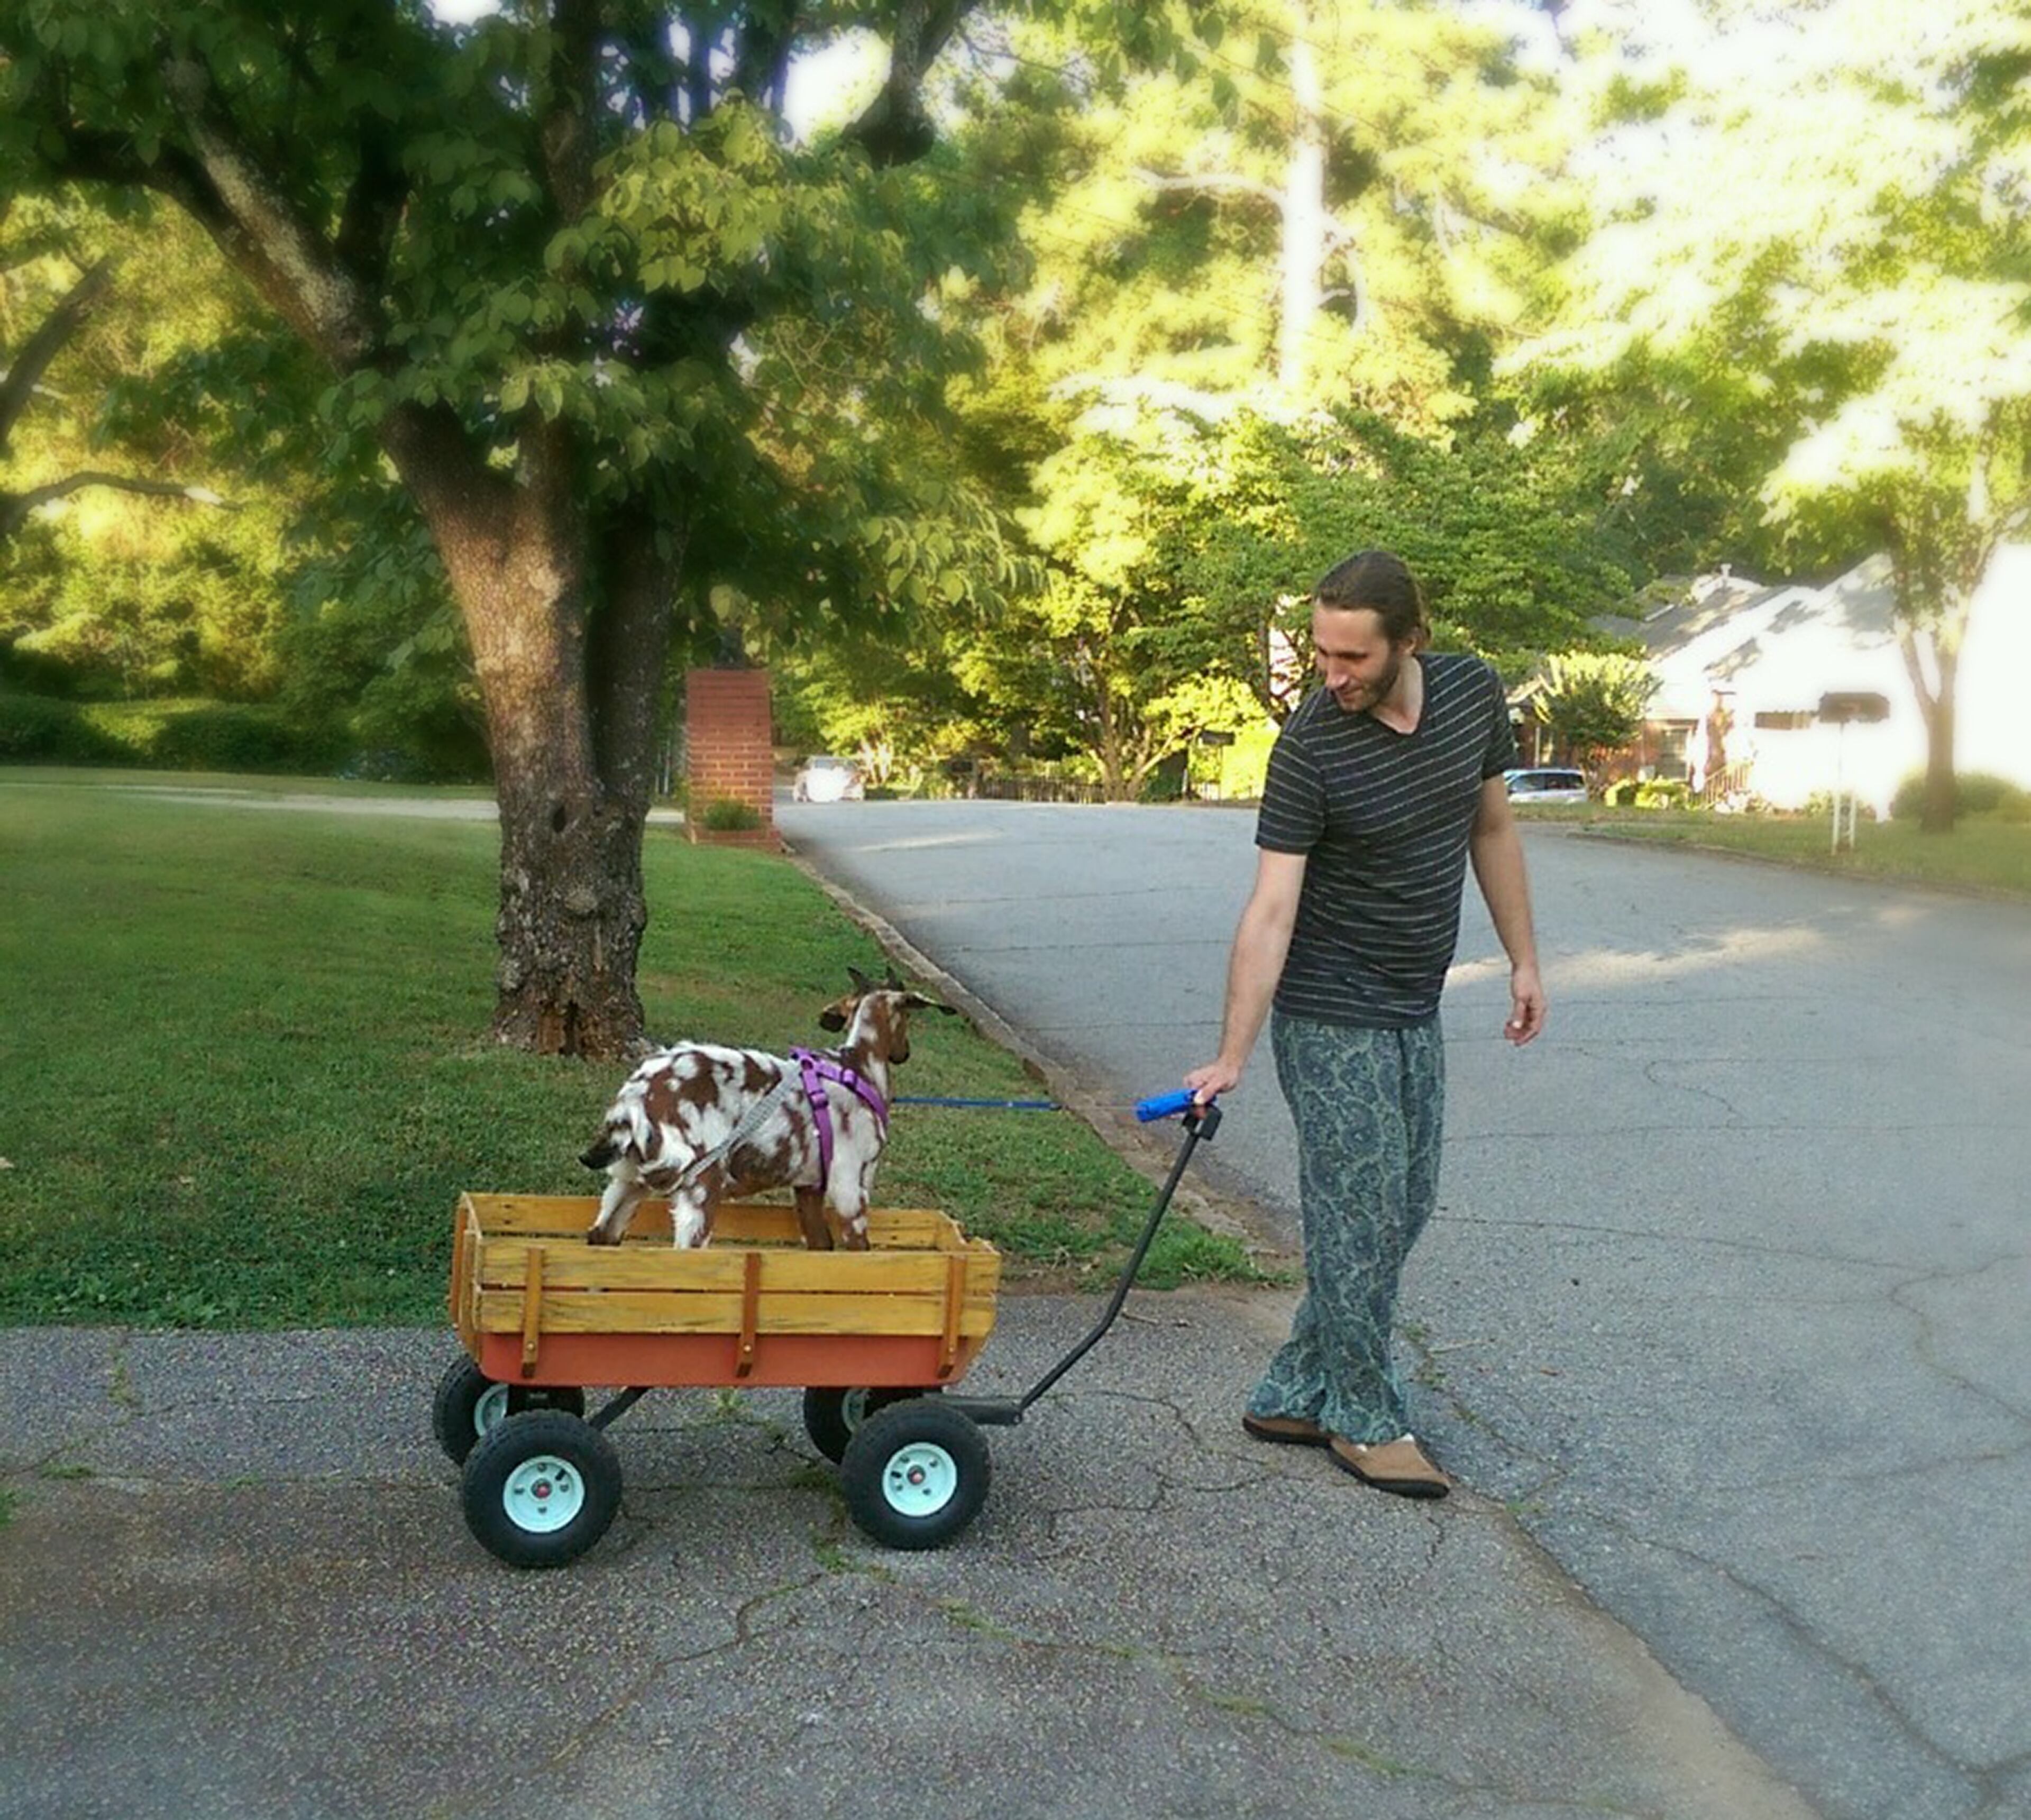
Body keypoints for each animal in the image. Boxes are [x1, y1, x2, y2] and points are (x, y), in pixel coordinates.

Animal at [578, 967, 956, 1251]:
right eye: (907, 1017)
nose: (904, 1053)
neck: (860, 1066)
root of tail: (634, 1098)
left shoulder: (808, 1187)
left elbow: (822, 1247)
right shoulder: (851, 1181)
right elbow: (858, 1251)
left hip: (628, 1179)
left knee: (601, 1237)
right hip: (700, 1186)